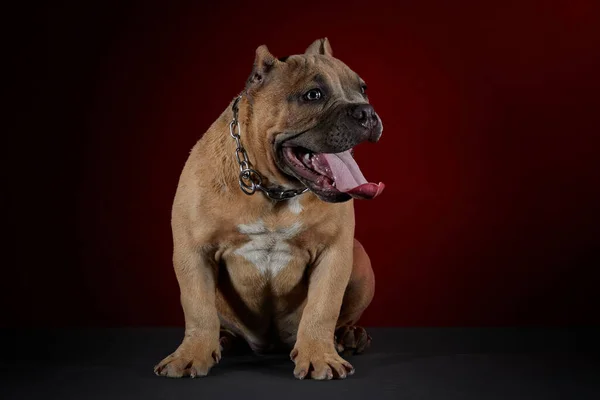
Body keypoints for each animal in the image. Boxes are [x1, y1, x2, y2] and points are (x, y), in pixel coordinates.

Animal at [155, 38, 384, 382]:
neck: (274, 189)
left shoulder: (334, 252)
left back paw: (349, 336)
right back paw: (223, 339)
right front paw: (191, 354)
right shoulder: (194, 252)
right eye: (313, 95)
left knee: (341, 318)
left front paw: (319, 356)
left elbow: (322, 308)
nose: (367, 112)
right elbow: (198, 309)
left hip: (360, 260)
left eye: (363, 89)